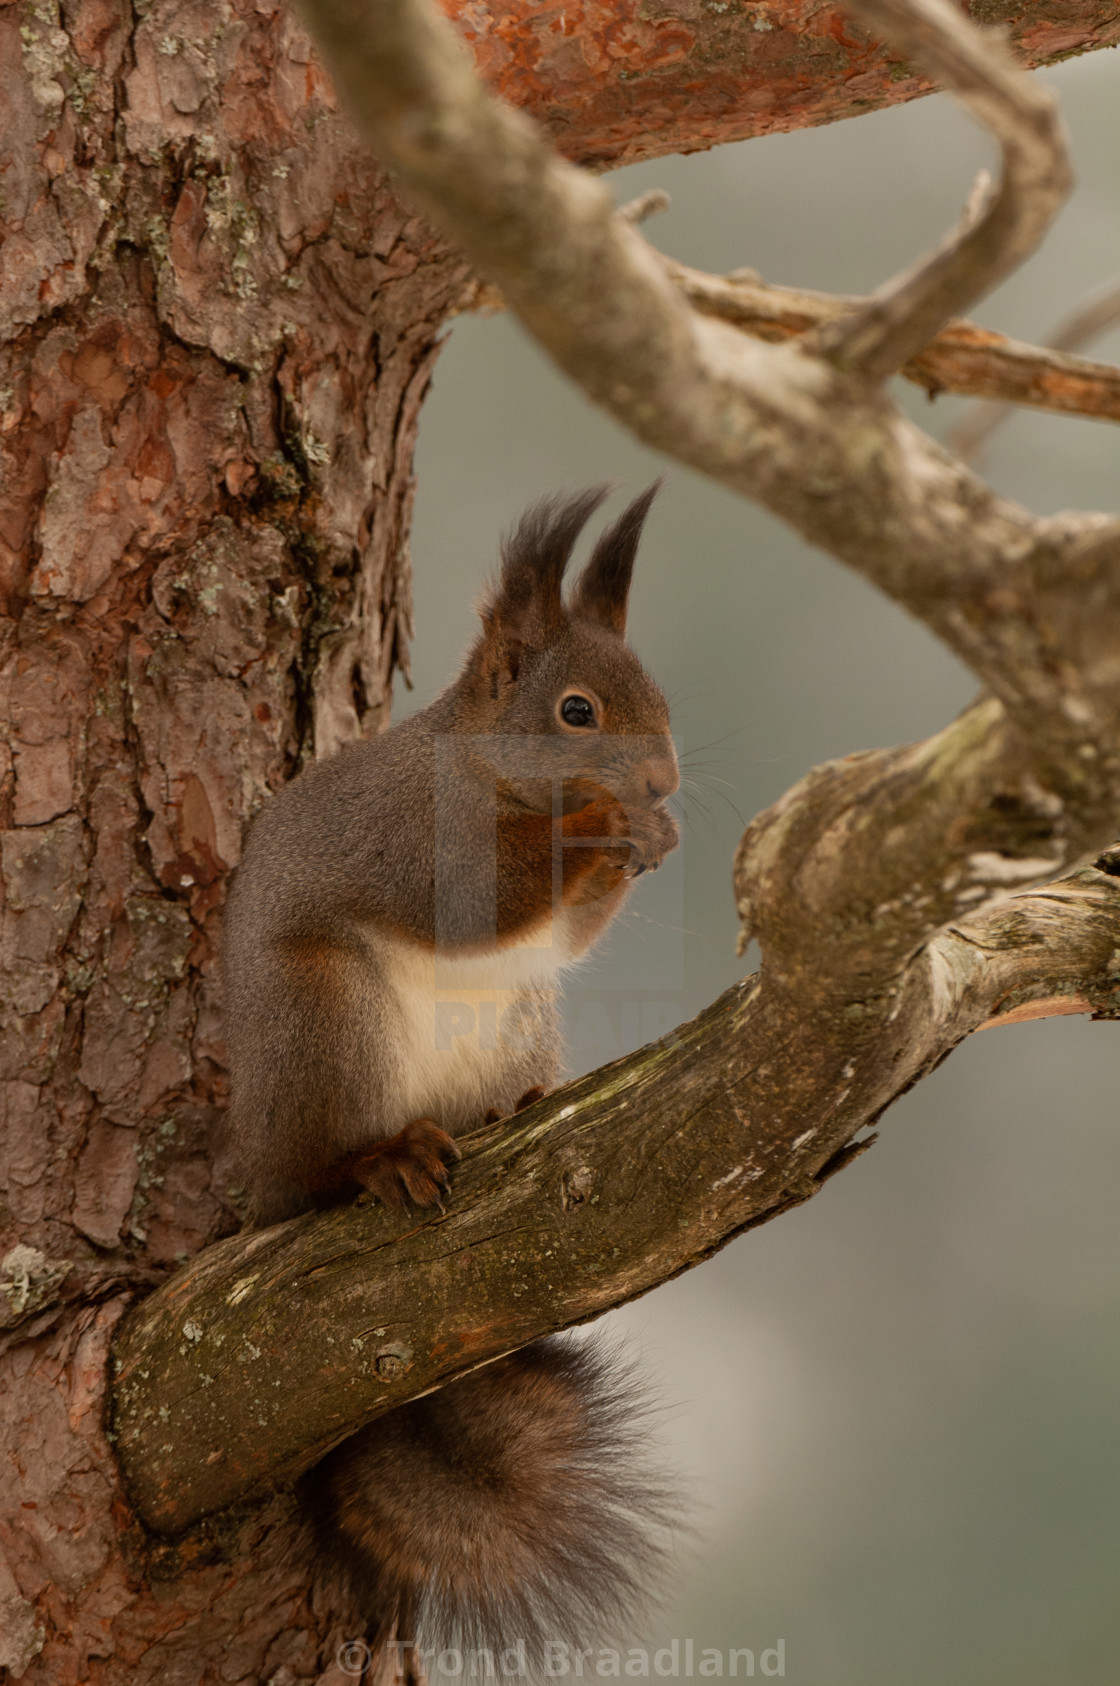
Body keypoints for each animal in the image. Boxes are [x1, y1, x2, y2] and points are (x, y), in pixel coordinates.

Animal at [226, 485, 681, 1659]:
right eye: (577, 712)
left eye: (659, 696)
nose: (663, 780)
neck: (483, 772)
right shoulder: (413, 838)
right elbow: (478, 898)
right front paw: (608, 821)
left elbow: (566, 935)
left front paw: (654, 835)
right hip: (324, 1022)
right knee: (319, 1174)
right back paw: (381, 1161)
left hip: (521, 1019)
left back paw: (511, 1106)